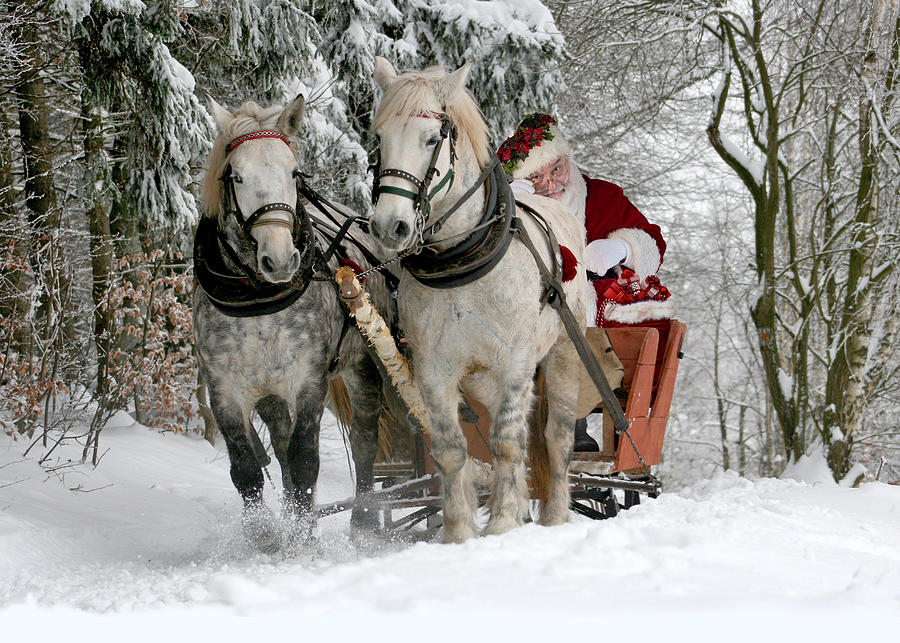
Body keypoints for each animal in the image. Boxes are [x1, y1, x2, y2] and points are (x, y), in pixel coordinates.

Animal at [193, 98, 390, 552]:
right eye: (237, 175)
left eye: (294, 173)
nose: (281, 260)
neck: (256, 300)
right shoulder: (224, 388)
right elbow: (247, 467)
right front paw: (267, 534)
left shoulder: (309, 379)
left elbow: (305, 461)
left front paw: (303, 538)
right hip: (270, 393)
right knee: (280, 448)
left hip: (362, 367)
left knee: (364, 440)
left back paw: (364, 522)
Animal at [368, 56, 592, 544]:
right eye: (379, 138)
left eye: (432, 138)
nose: (389, 226)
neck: (462, 262)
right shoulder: (433, 368)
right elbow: (452, 448)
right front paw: (458, 531)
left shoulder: (517, 359)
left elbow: (508, 441)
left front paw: (504, 521)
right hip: (483, 378)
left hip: (564, 353)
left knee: (556, 436)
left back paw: (554, 514)